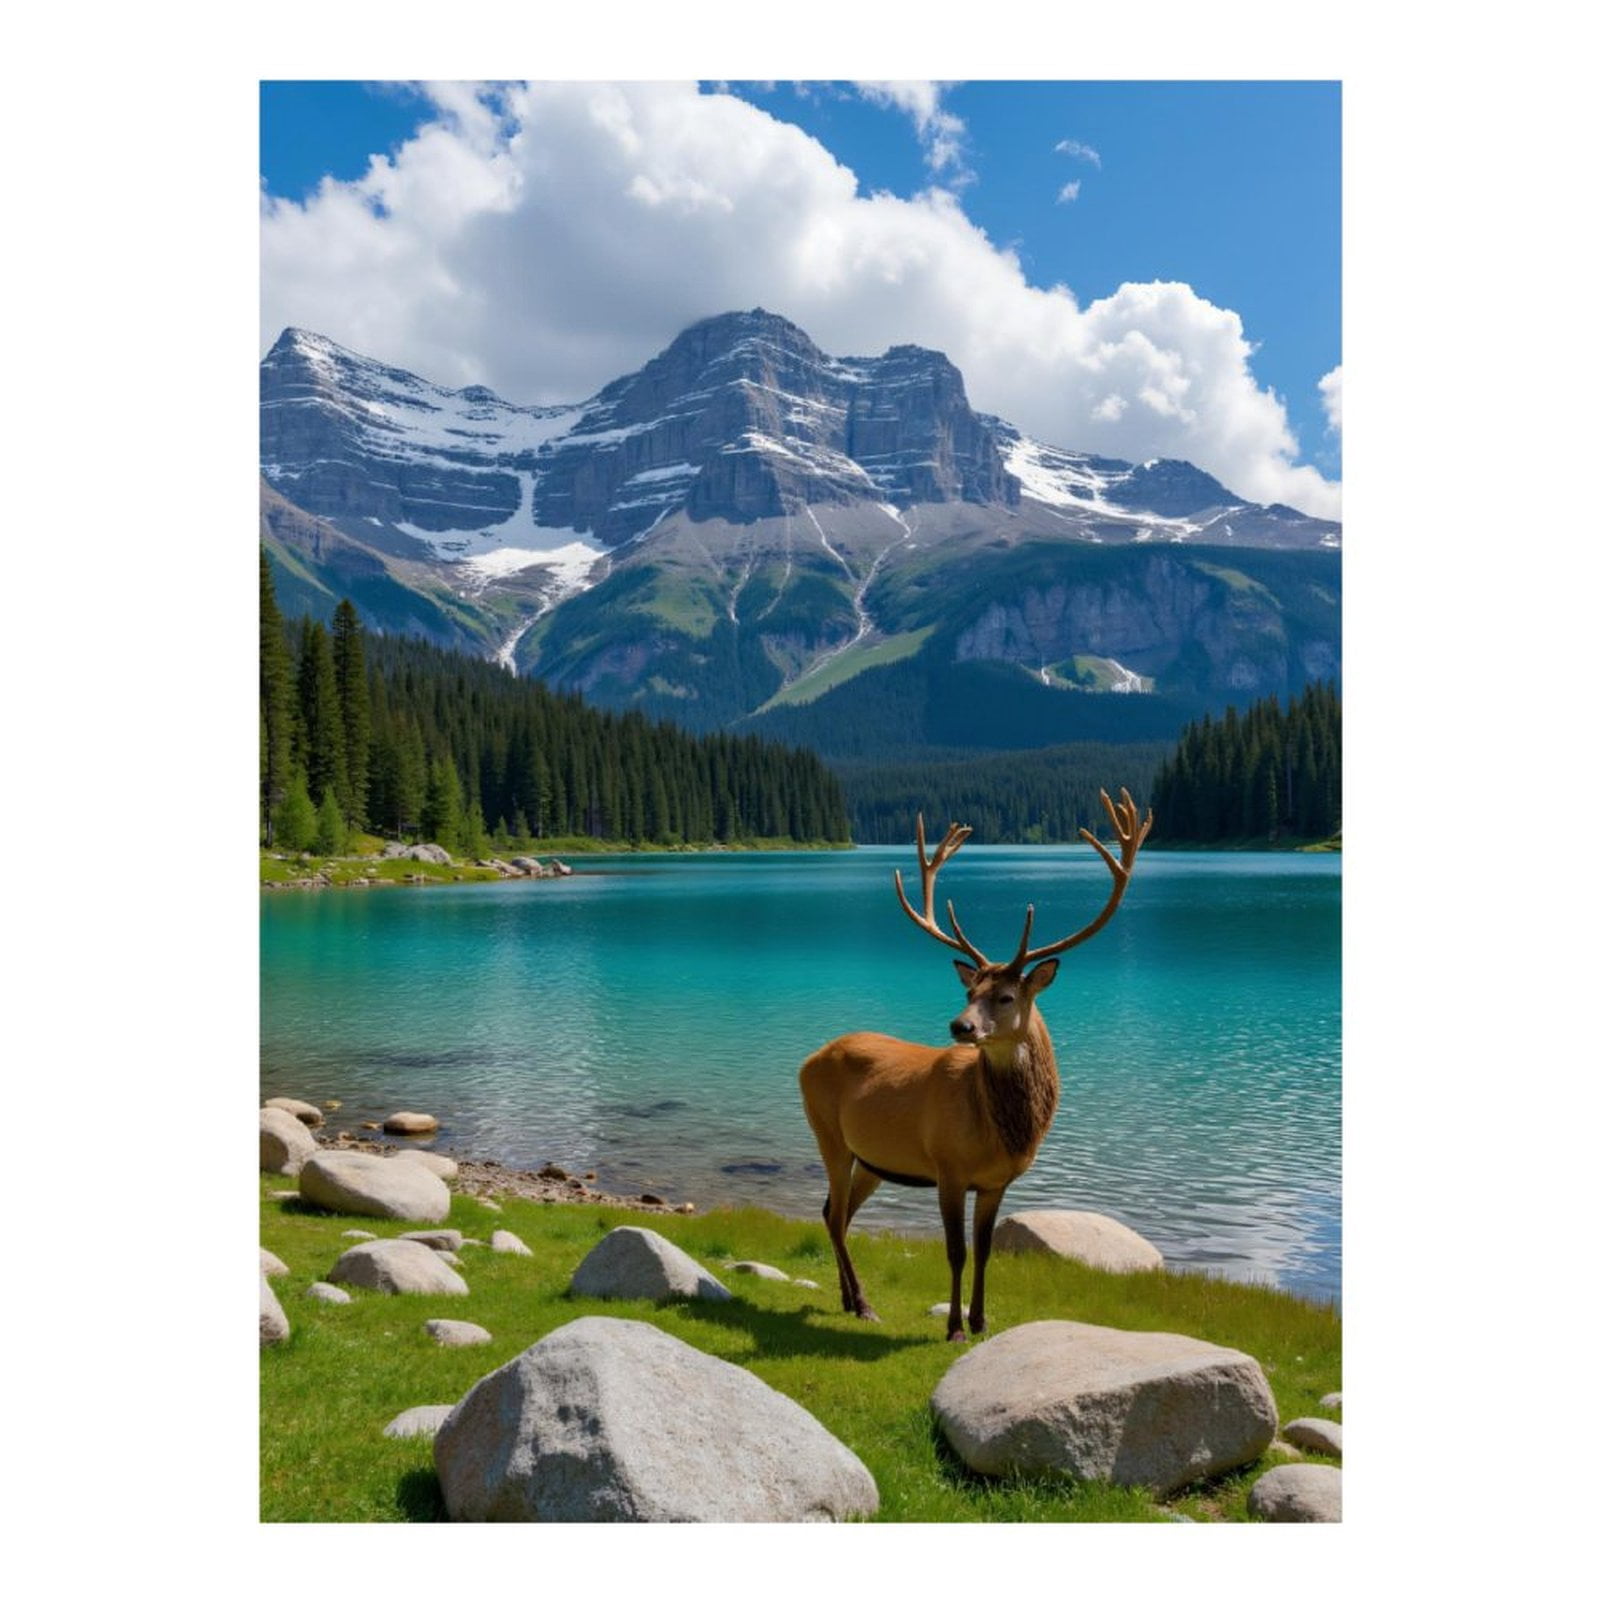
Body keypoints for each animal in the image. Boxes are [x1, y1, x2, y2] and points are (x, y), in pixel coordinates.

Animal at [799, 788, 1152, 1342]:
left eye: (1005, 996)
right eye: (969, 992)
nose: (959, 1026)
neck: (1000, 1131)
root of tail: (808, 1060)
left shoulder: (995, 1181)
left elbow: (985, 1250)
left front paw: (982, 1319)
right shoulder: (947, 1167)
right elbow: (956, 1250)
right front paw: (955, 1328)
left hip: (872, 1160)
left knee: (834, 1211)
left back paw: (850, 1300)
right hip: (828, 1134)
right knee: (834, 1215)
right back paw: (864, 1303)